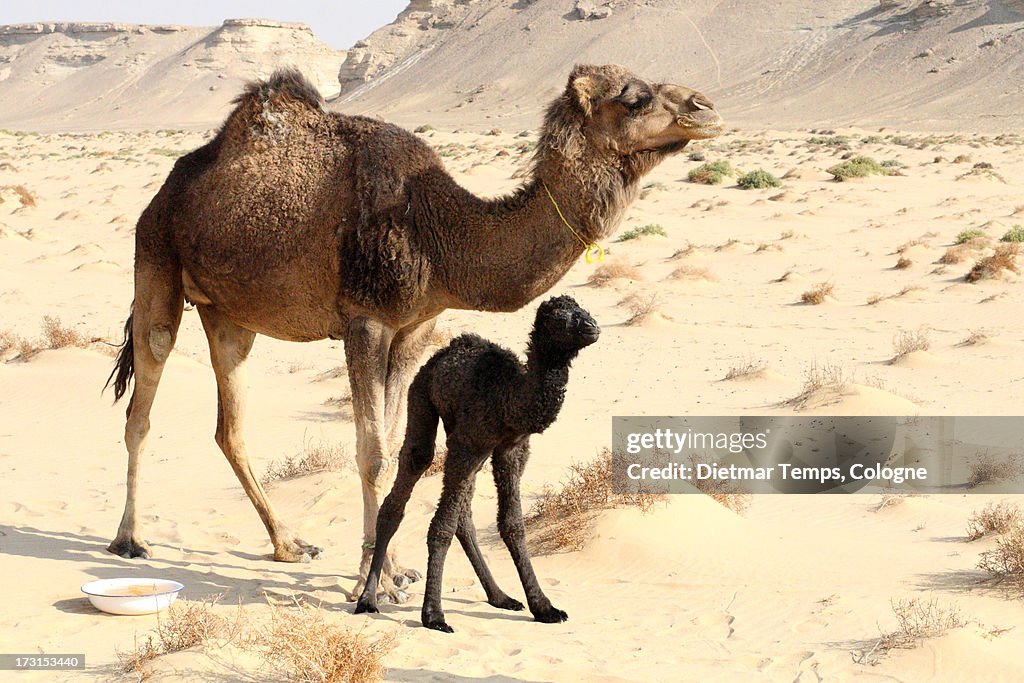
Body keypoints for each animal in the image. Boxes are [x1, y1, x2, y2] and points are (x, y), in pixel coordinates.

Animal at [105, 61, 720, 602]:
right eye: (633, 98)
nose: (705, 107)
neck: (438, 233)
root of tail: (167, 187)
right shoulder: (365, 320)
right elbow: (372, 451)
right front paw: (370, 583)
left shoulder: (415, 328)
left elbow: (405, 448)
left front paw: (394, 569)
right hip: (155, 256)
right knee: (143, 395)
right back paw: (129, 540)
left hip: (228, 314)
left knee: (228, 425)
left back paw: (288, 544)